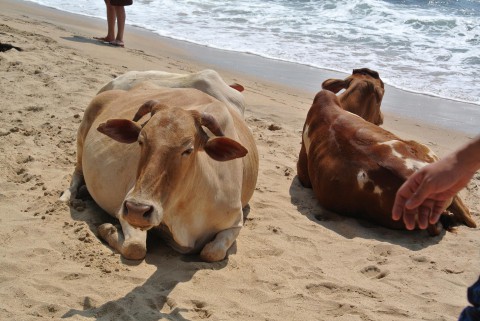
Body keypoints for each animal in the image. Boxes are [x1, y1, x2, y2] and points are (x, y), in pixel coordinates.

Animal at [62, 82, 260, 260]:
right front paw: (107, 228)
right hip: (82, 136)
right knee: (77, 173)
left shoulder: (235, 223)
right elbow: (135, 247)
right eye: (140, 140)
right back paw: (68, 196)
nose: (137, 209)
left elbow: (212, 253)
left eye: (188, 149)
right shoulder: (125, 208)